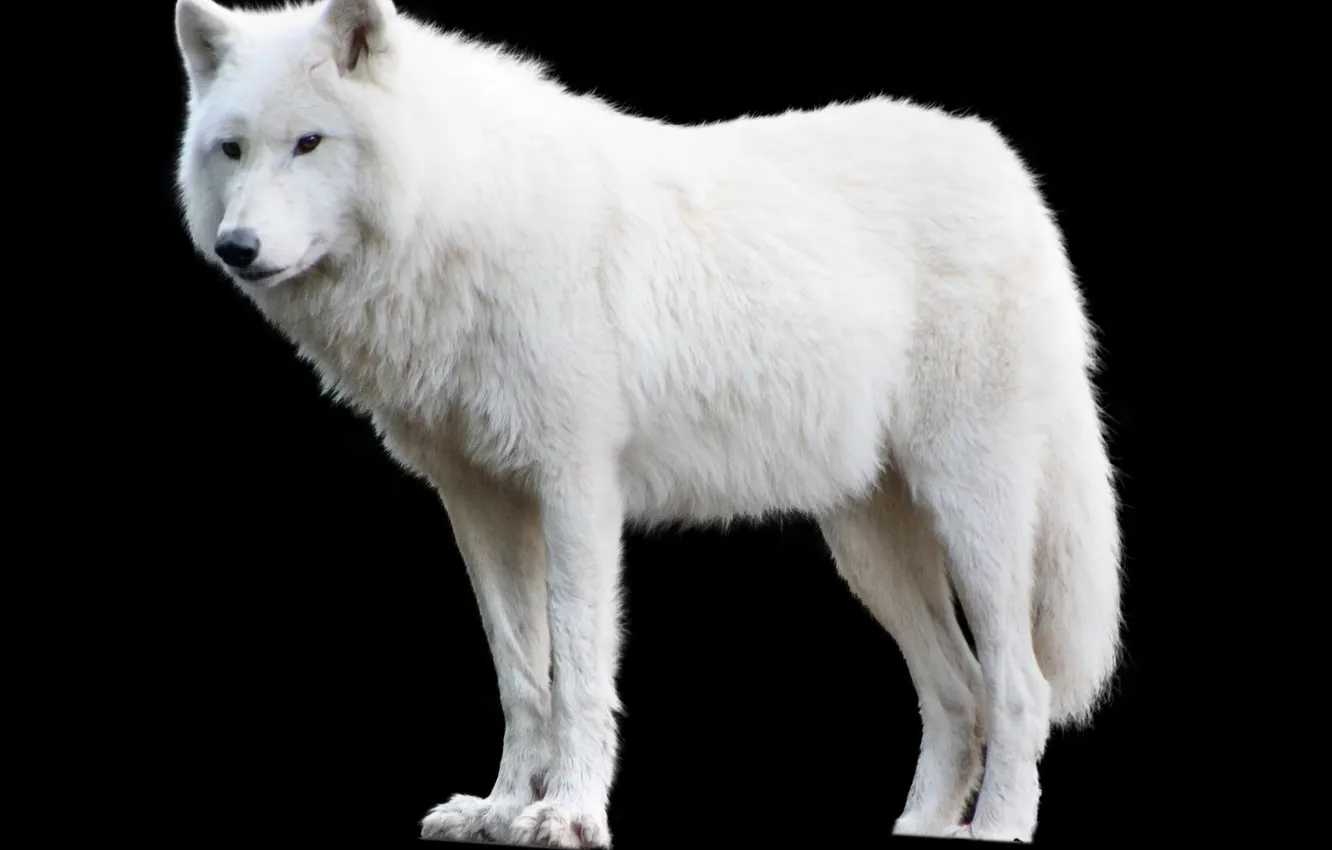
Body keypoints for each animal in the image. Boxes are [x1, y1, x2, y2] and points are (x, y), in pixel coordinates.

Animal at [173, 0, 1124, 844]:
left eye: (310, 142)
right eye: (232, 148)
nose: (236, 247)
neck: (461, 213)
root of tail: (1002, 162)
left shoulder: (576, 488)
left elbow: (578, 670)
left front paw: (567, 816)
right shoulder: (479, 501)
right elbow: (520, 675)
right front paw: (500, 810)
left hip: (972, 515)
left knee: (1020, 687)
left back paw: (997, 831)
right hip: (869, 547)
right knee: (958, 691)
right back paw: (924, 829)